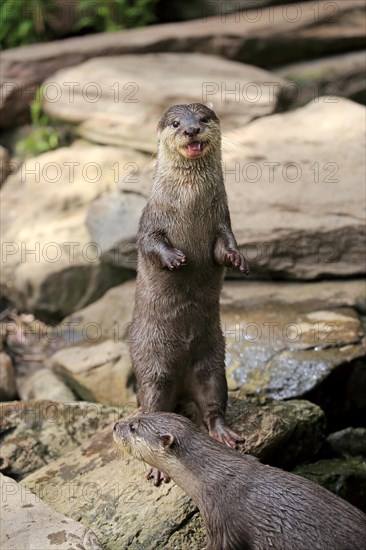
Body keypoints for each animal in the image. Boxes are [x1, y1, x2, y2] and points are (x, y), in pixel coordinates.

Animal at [129, 104, 249, 488]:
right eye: (176, 123)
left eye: (204, 118)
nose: (192, 130)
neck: (190, 204)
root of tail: (181, 386)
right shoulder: (150, 220)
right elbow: (151, 244)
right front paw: (175, 259)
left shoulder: (223, 221)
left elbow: (225, 248)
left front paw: (239, 260)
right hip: (151, 367)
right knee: (153, 407)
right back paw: (156, 466)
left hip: (213, 364)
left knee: (212, 404)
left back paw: (224, 434)